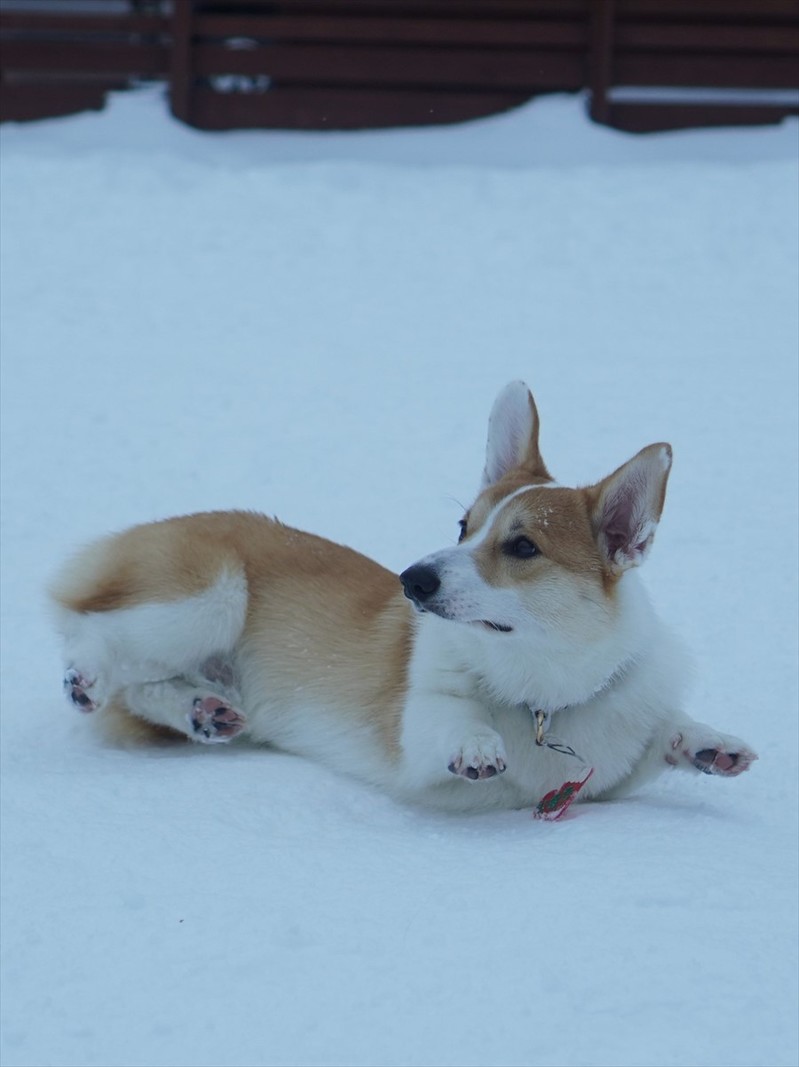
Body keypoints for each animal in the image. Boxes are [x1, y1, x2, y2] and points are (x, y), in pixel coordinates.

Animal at [49, 379, 755, 810]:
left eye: (523, 547)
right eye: (464, 526)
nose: (411, 579)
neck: (545, 694)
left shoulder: (611, 770)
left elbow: (663, 732)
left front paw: (709, 744)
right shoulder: (416, 735)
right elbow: (452, 719)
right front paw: (477, 745)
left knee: (143, 687)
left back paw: (204, 709)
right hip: (210, 598)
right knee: (96, 632)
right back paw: (88, 674)